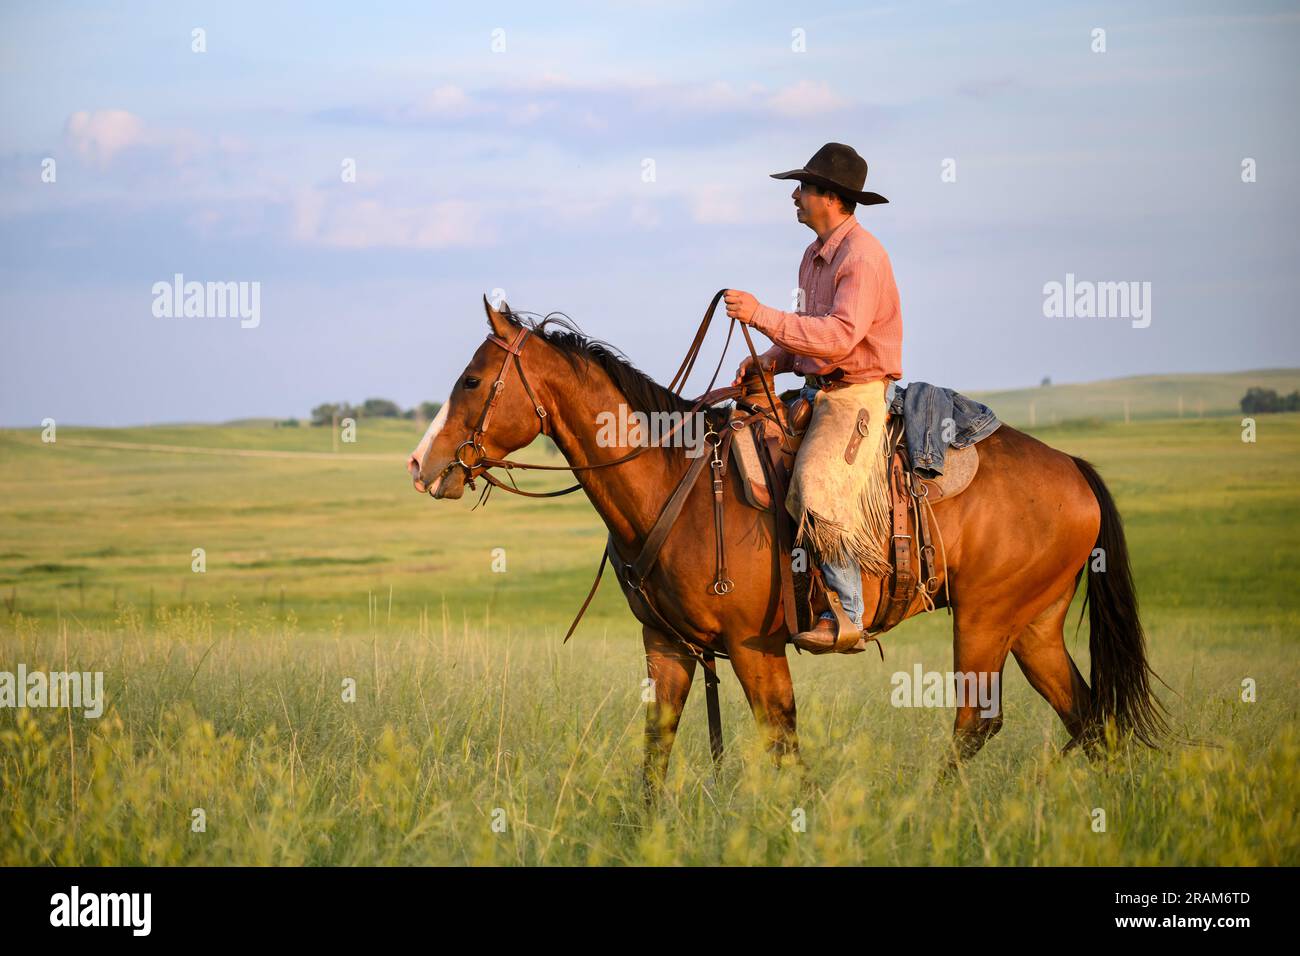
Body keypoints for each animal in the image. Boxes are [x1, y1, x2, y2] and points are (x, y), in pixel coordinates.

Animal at [409, 296, 1168, 791]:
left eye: (472, 380)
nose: (422, 464)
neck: (675, 483)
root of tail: (1073, 468)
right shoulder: (668, 646)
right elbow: (657, 749)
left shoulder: (755, 647)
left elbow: (781, 744)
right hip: (1033, 625)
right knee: (1089, 718)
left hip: (986, 619)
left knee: (978, 721)